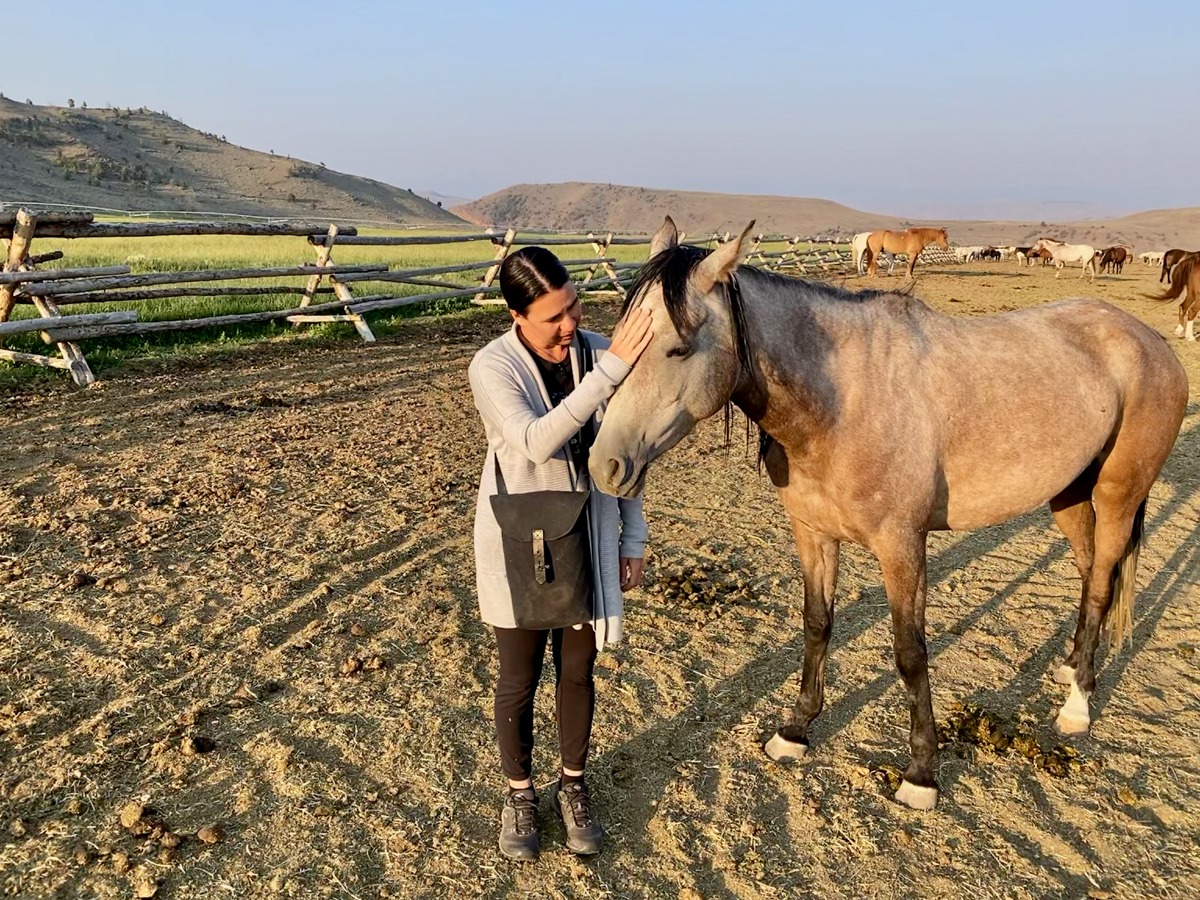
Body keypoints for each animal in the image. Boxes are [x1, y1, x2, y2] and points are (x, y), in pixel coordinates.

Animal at [585, 220, 1185, 816]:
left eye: (678, 348)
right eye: (623, 339)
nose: (604, 464)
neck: (843, 399)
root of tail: (1150, 342)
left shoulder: (902, 546)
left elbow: (910, 652)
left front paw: (921, 773)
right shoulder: (813, 534)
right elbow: (817, 624)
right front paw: (795, 730)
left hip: (1117, 496)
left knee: (1103, 584)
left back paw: (1077, 704)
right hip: (1067, 495)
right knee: (1088, 574)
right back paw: (1070, 668)